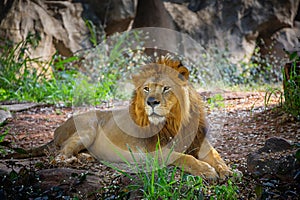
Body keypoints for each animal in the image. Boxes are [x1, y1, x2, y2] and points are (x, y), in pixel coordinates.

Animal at [5, 57, 233, 179]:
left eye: (166, 88)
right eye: (146, 89)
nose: (151, 102)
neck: (176, 122)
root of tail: (58, 129)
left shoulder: (201, 143)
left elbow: (218, 157)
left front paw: (227, 171)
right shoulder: (151, 153)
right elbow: (183, 157)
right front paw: (206, 170)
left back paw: (89, 157)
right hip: (87, 127)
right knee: (58, 155)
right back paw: (75, 159)